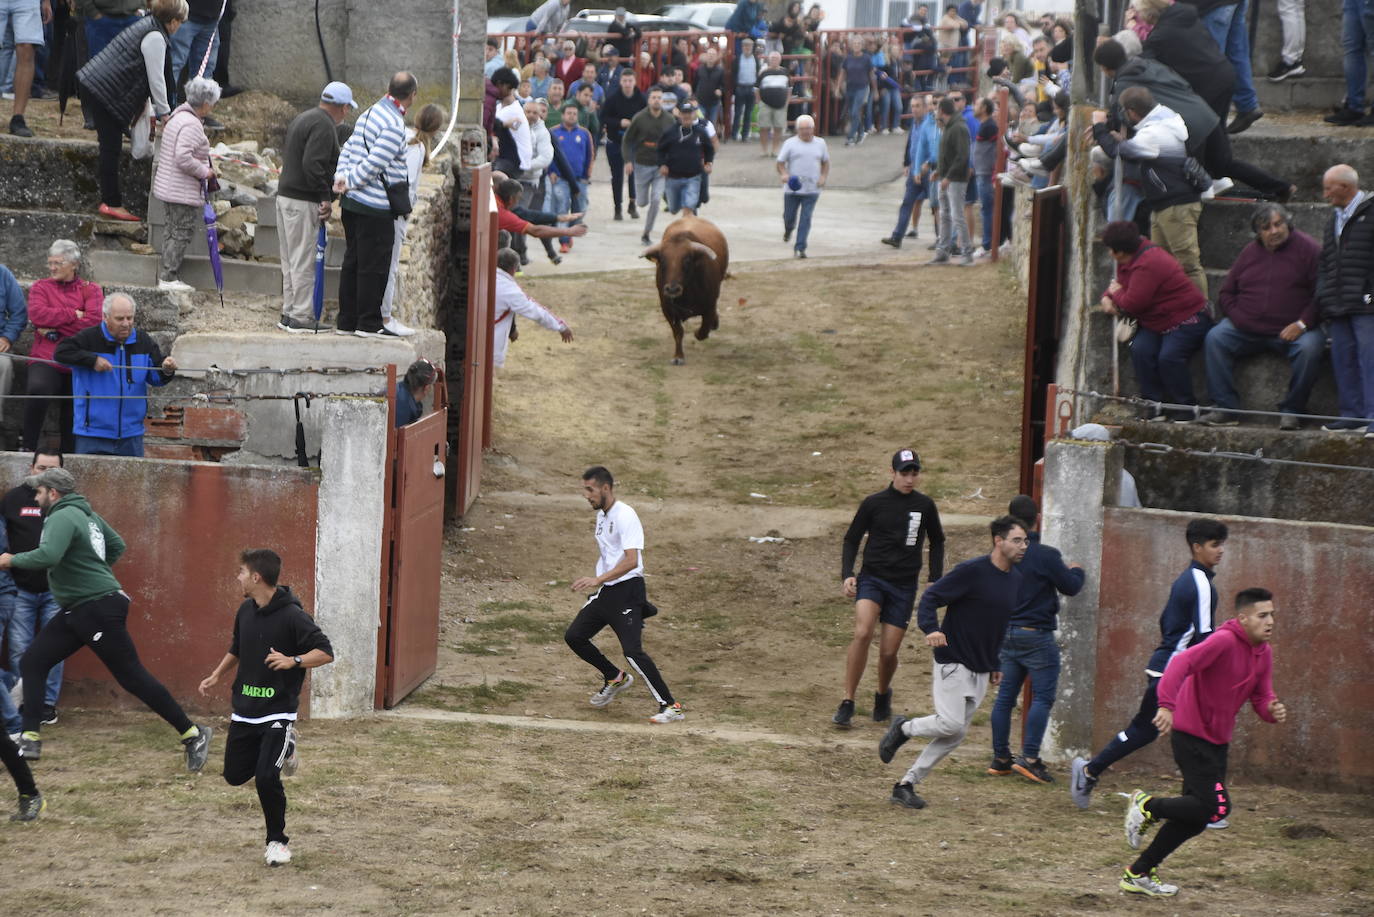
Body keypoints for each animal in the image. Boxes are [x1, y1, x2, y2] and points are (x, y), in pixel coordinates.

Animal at [643, 215, 730, 365]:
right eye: (662, 261)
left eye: (687, 260)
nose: (672, 289)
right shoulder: (667, 309)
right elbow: (678, 332)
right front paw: (678, 356)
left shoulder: (709, 305)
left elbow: (703, 331)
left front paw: (698, 332)